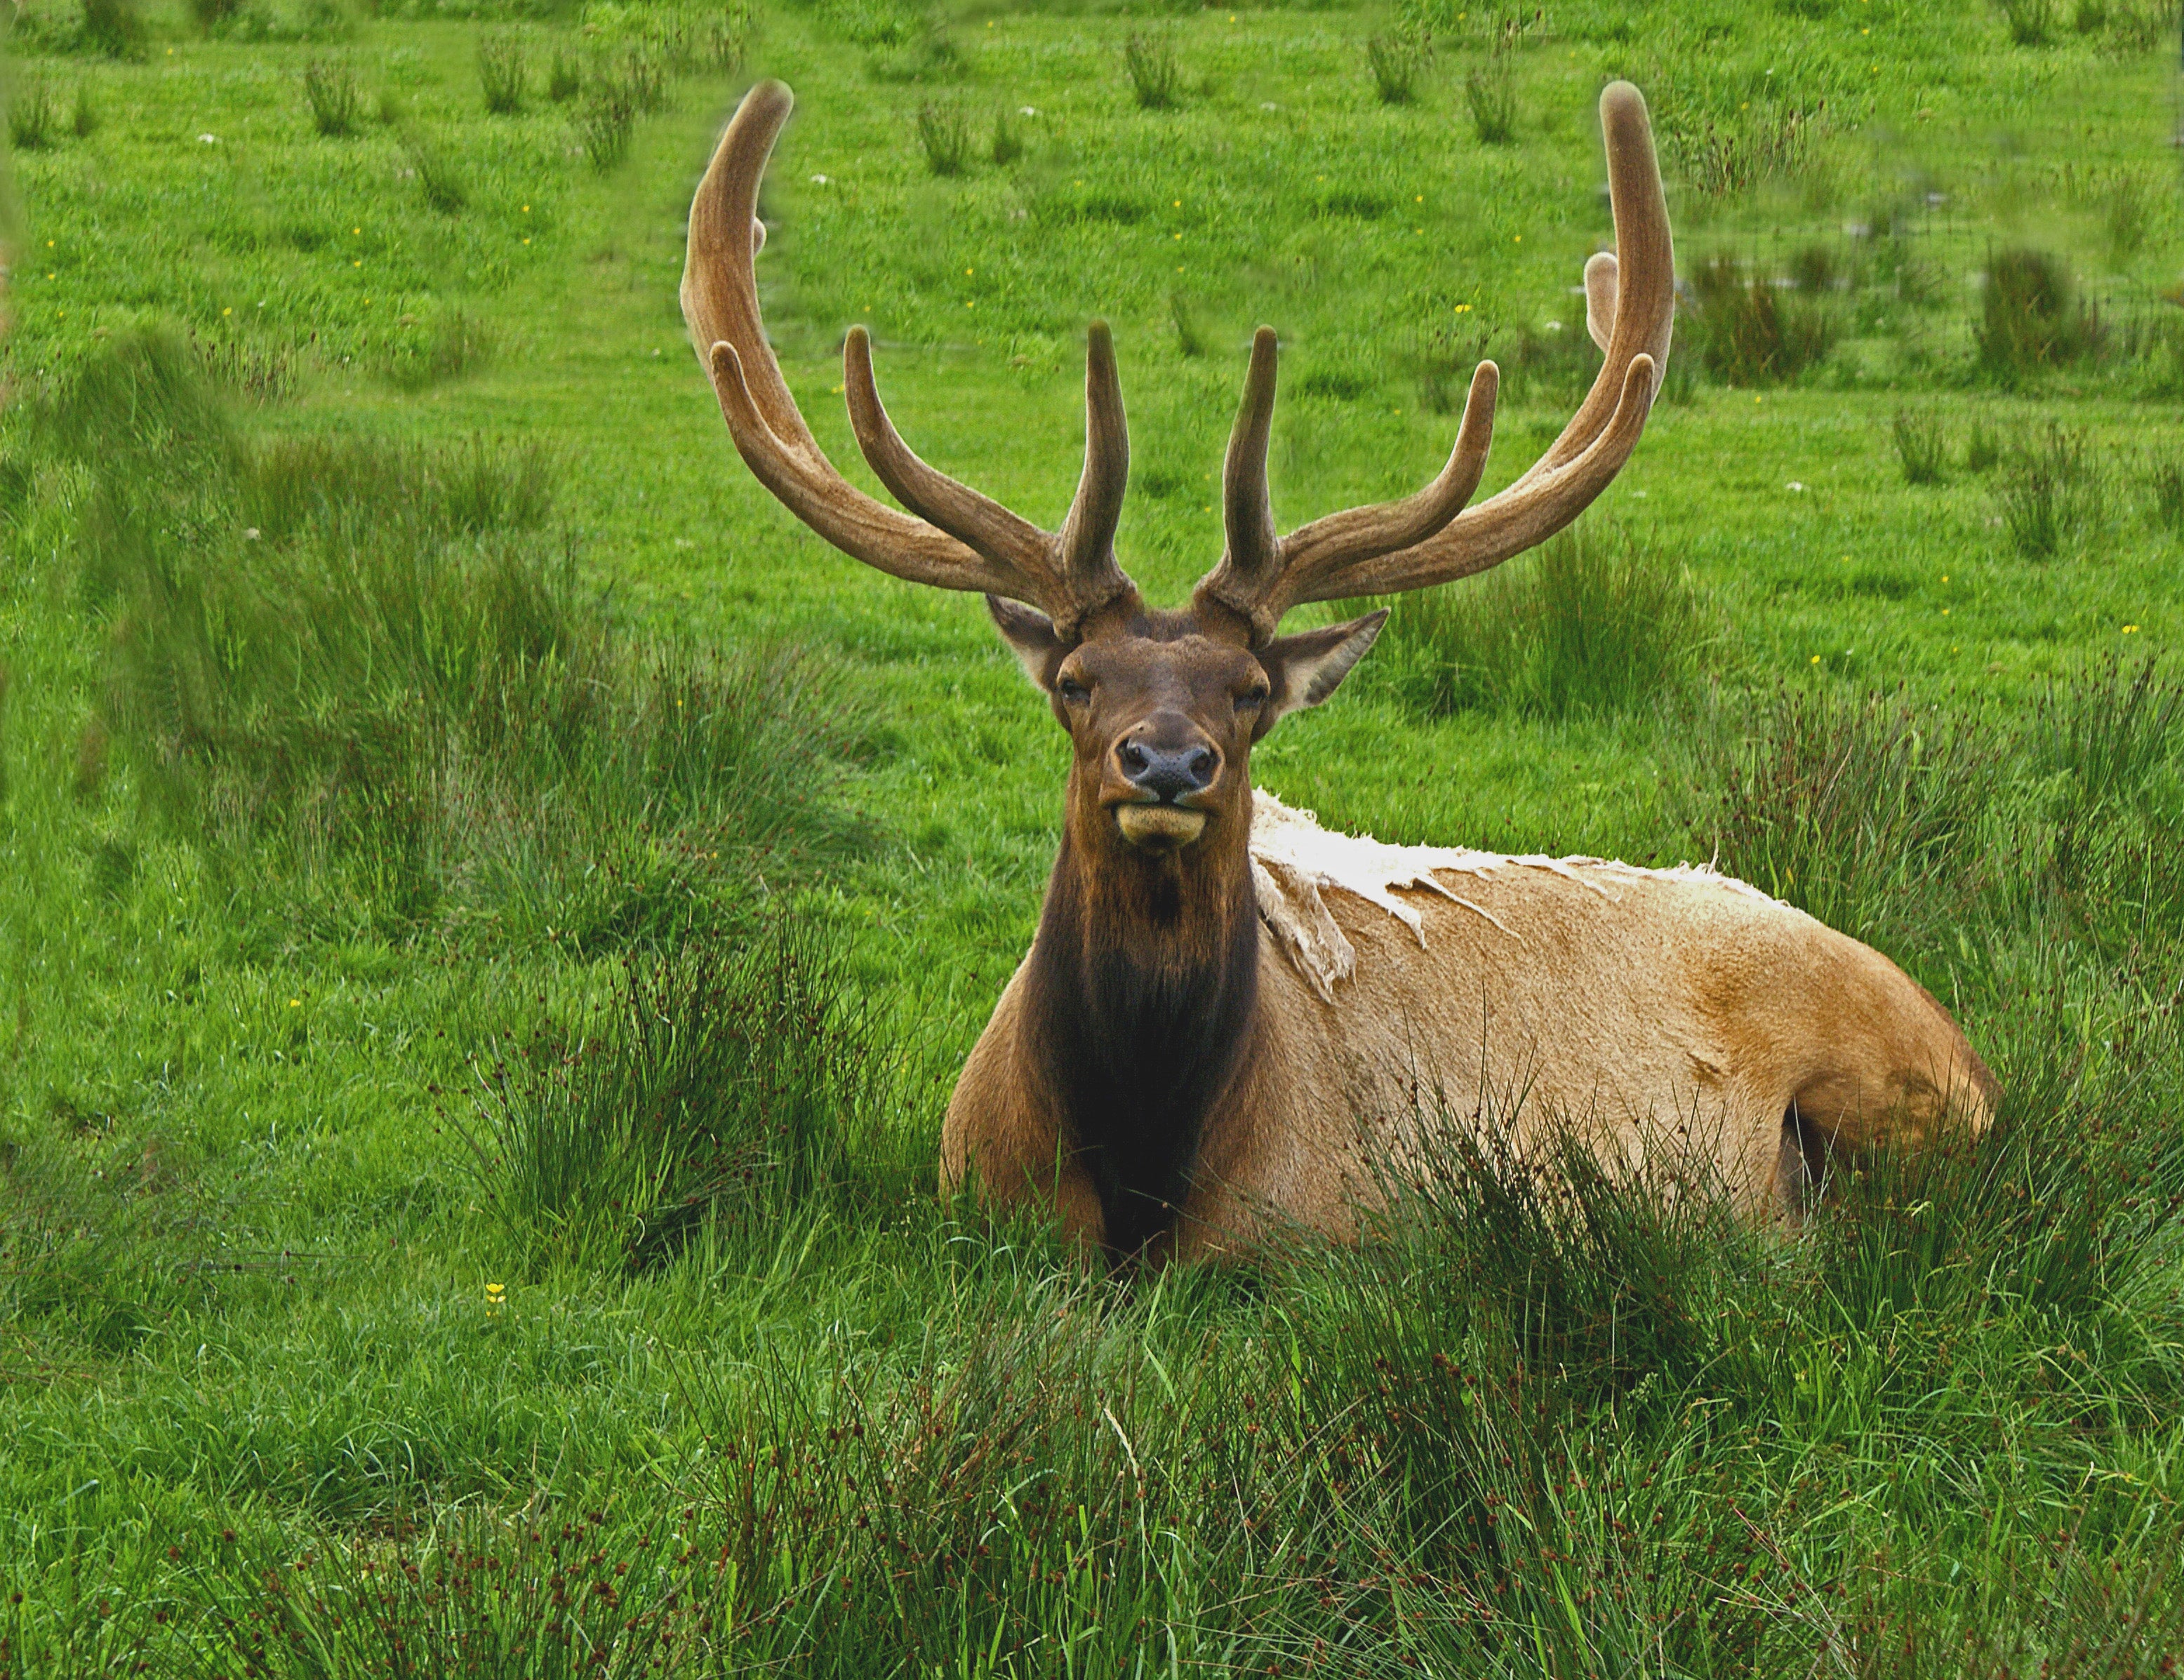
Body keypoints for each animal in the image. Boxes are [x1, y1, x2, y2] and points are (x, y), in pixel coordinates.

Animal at [682, 78, 1997, 1265]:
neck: (1141, 1170)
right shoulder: (972, 1199)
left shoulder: (1323, 1246)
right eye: (1076, 678)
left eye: (1252, 692)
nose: (1167, 764)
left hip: (1908, 1109)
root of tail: (1970, 1044)